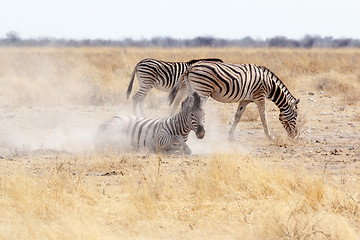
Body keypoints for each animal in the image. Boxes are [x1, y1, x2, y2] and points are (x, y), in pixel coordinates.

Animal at [169, 62, 300, 140]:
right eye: (295, 116)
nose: (295, 135)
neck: (270, 85)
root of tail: (190, 67)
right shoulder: (260, 96)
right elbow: (264, 116)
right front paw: (270, 136)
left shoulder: (245, 100)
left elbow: (238, 116)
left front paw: (230, 136)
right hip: (202, 90)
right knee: (193, 107)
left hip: (192, 89)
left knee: (184, 104)